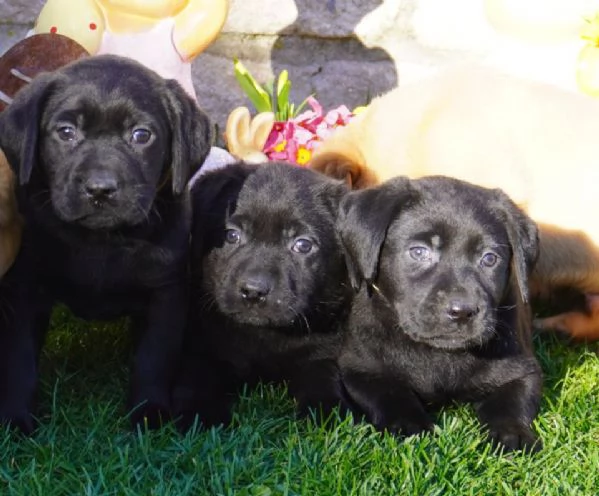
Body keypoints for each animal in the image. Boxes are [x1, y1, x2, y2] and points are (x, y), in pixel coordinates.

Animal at [0, 55, 213, 434]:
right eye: (66, 132)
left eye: (141, 135)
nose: (100, 188)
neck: (103, 241)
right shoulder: (25, 287)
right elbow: (19, 357)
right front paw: (16, 418)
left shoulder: (167, 292)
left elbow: (154, 356)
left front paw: (149, 413)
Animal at [172, 163, 352, 430]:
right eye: (231, 235)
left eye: (303, 245)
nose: (253, 291)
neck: (264, 336)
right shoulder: (202, 343)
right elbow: (198, 378)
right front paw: (203, 416)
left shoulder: (322, 352)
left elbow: (323, 378)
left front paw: (325, 415)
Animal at [338, 176, 544, 452]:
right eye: (418, 252)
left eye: (489, 258)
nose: (462, 311)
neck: (441, 355)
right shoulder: (359, 367)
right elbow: (389, 394)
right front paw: (410, 426)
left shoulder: (523, 369)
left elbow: (511, 403)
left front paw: (511, 435)